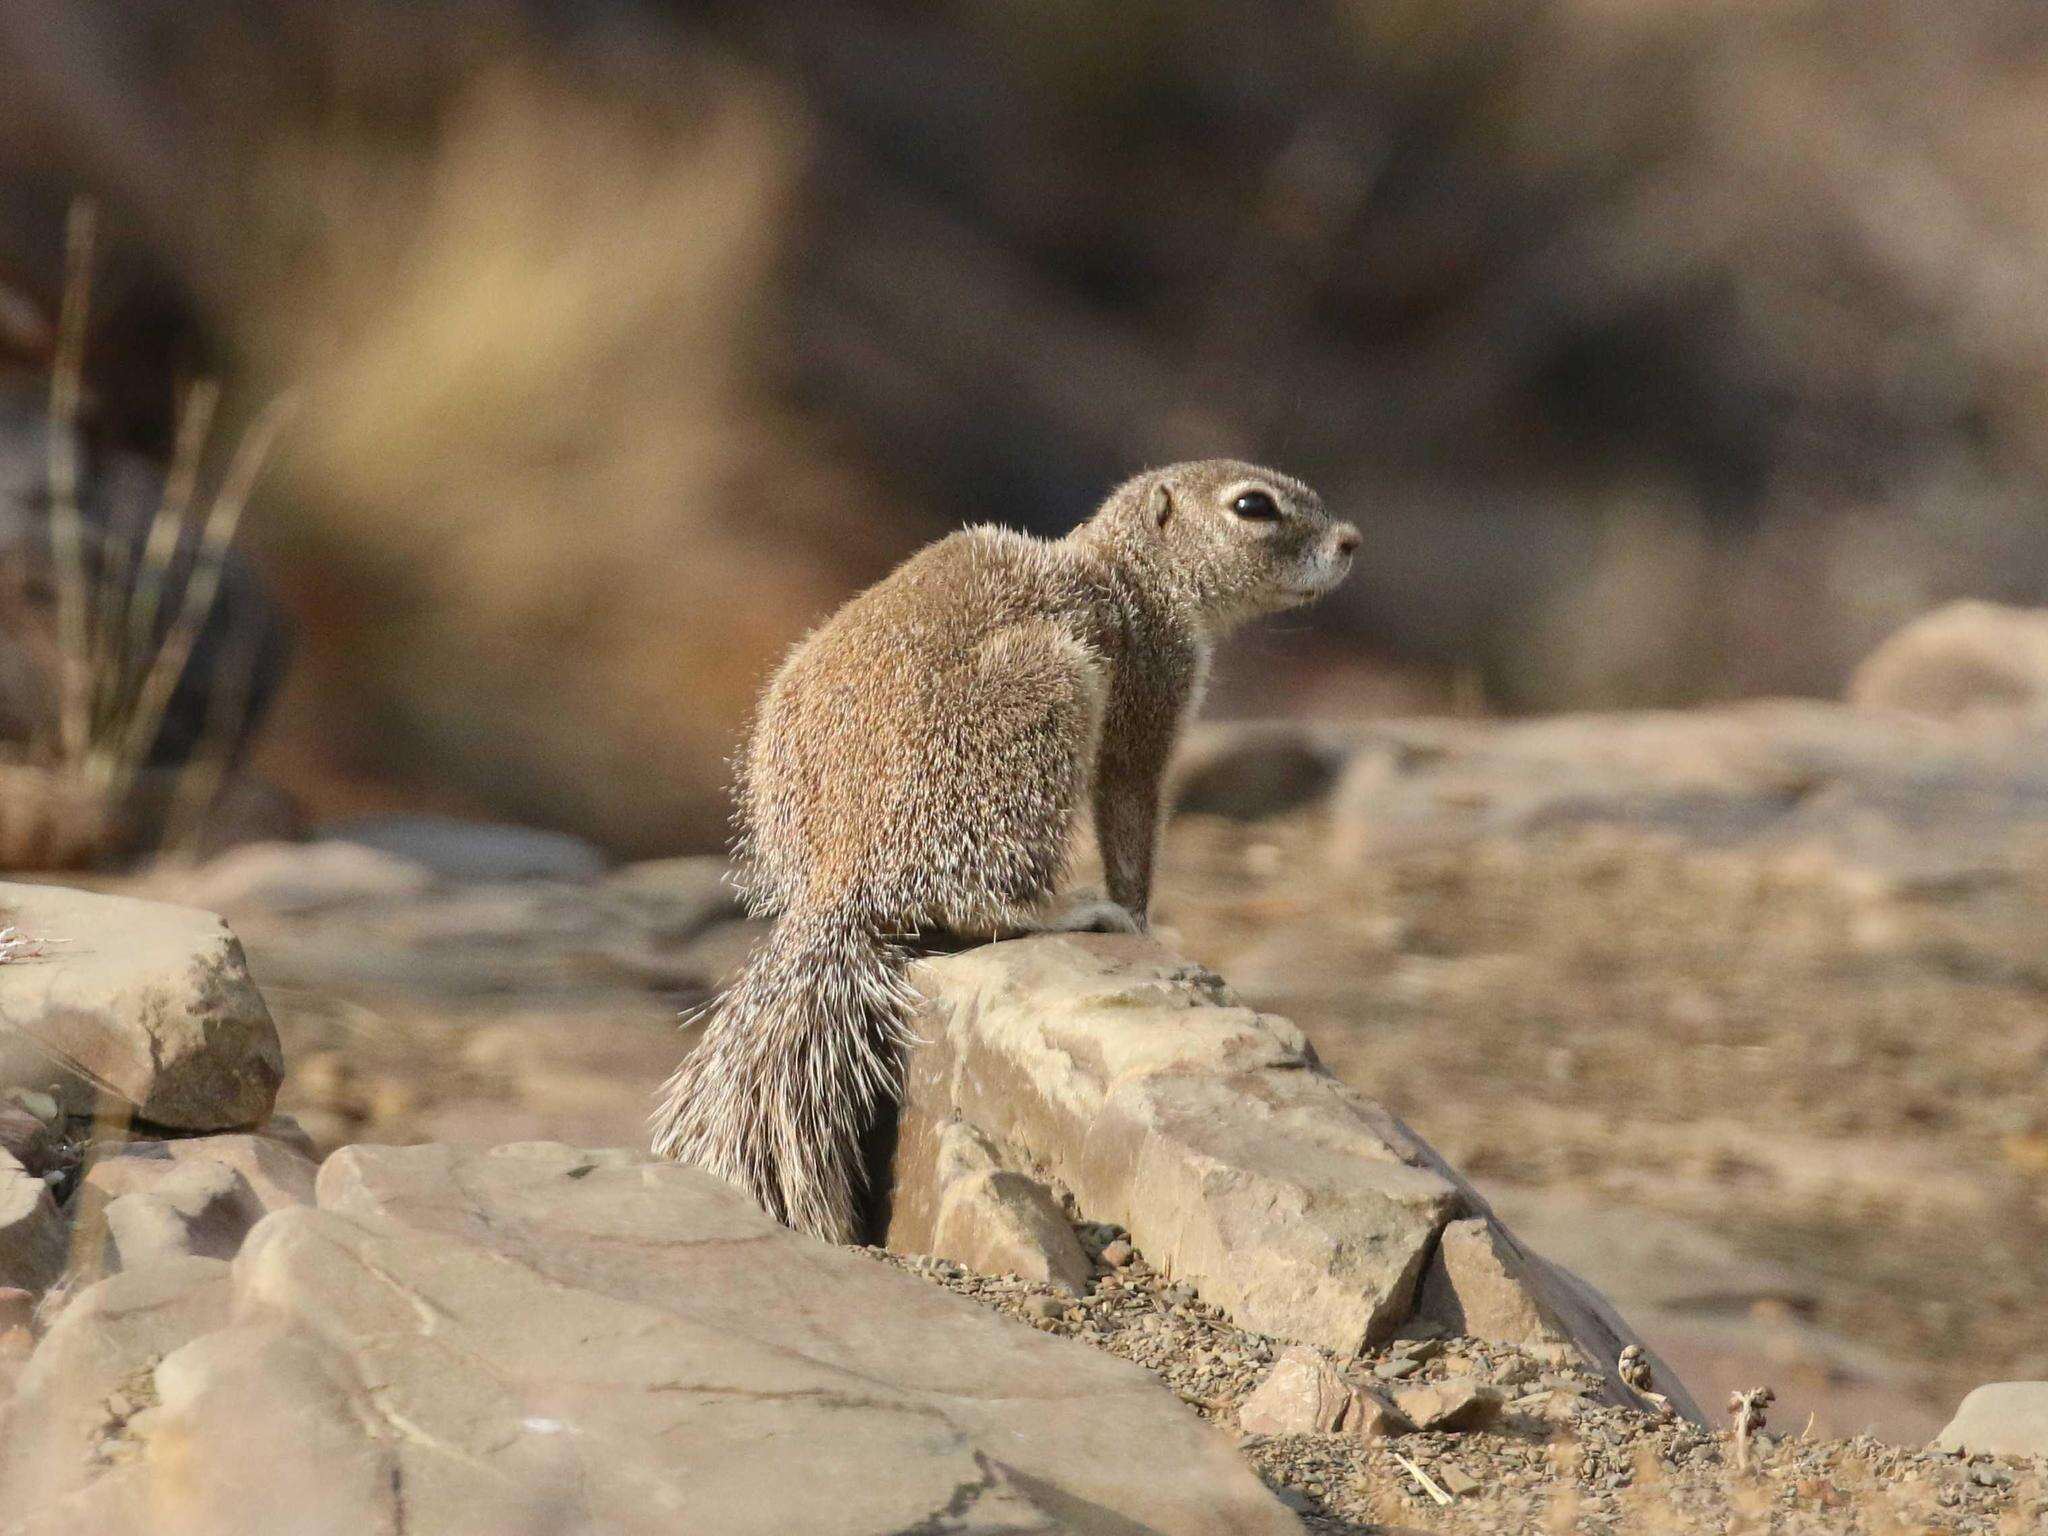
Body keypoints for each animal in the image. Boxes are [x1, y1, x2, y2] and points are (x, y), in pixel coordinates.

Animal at [655, 462, 1359, 1245]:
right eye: (1253, 506)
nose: (1351, 540)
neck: (1125, 574)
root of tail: (836, 884)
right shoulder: (1150, 689)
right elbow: (1130, 811)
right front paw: (1142, 919)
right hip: (1049, 697)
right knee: (979, 904)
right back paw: (1073, 911)